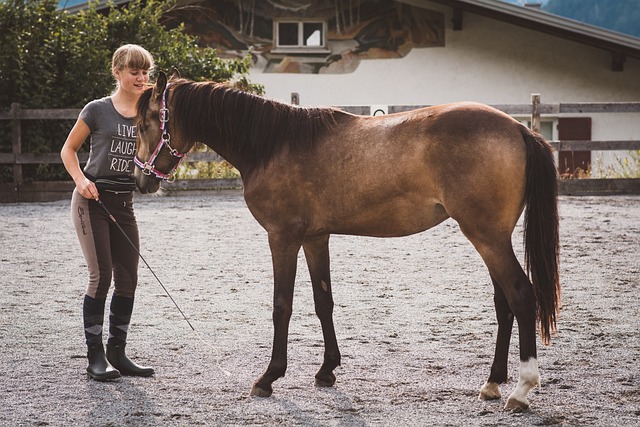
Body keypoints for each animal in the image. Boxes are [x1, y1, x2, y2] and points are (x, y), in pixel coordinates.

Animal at [135, 72, 560, 412]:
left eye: (144, 122)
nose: (142, 180)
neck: (272, 144)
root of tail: (520, 129)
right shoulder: (315, 238)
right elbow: (323, 302)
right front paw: (327, 370)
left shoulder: (282, 238)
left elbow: (282, 306)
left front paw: (269, 377)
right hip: (491, 238)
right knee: (503, 304)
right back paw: (492, 383)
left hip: (487, 237)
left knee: (521, 296)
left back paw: (521, 390)